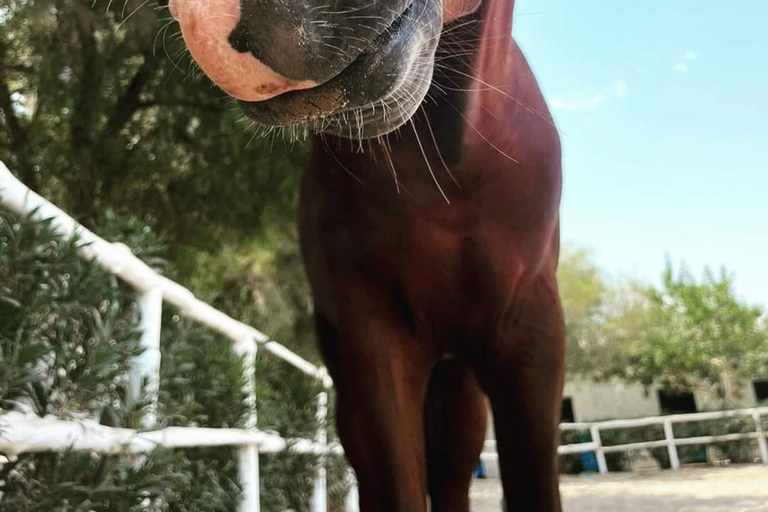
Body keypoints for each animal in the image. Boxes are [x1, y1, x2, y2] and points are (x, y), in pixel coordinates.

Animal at [168, 0, 564, 508]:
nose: (209, 15)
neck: (445, 176)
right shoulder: (375, 336)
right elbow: (396, 481)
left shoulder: (533, 332)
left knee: (451, 472)